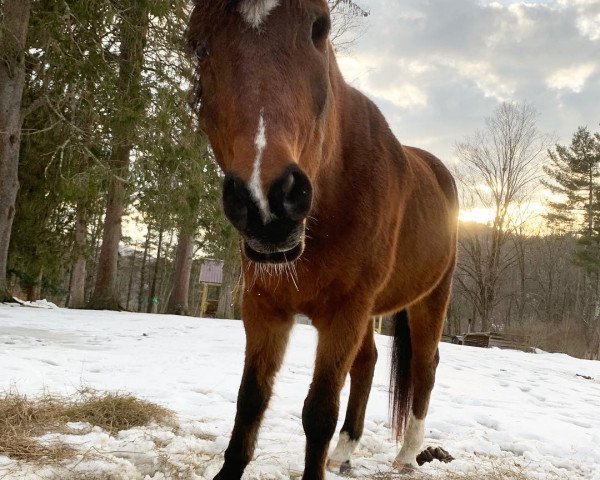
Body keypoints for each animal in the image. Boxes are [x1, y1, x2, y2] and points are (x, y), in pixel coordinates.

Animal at [188, 1, 460, 478]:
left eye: (320, 28)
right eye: (197, 45)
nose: (266, 201)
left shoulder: (343, 313)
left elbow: (318, 413)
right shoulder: (264, 308)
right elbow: (250, 400)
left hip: (429, 299)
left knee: (425, 369)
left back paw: (408, 455)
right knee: (368, 363)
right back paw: (345, 450)